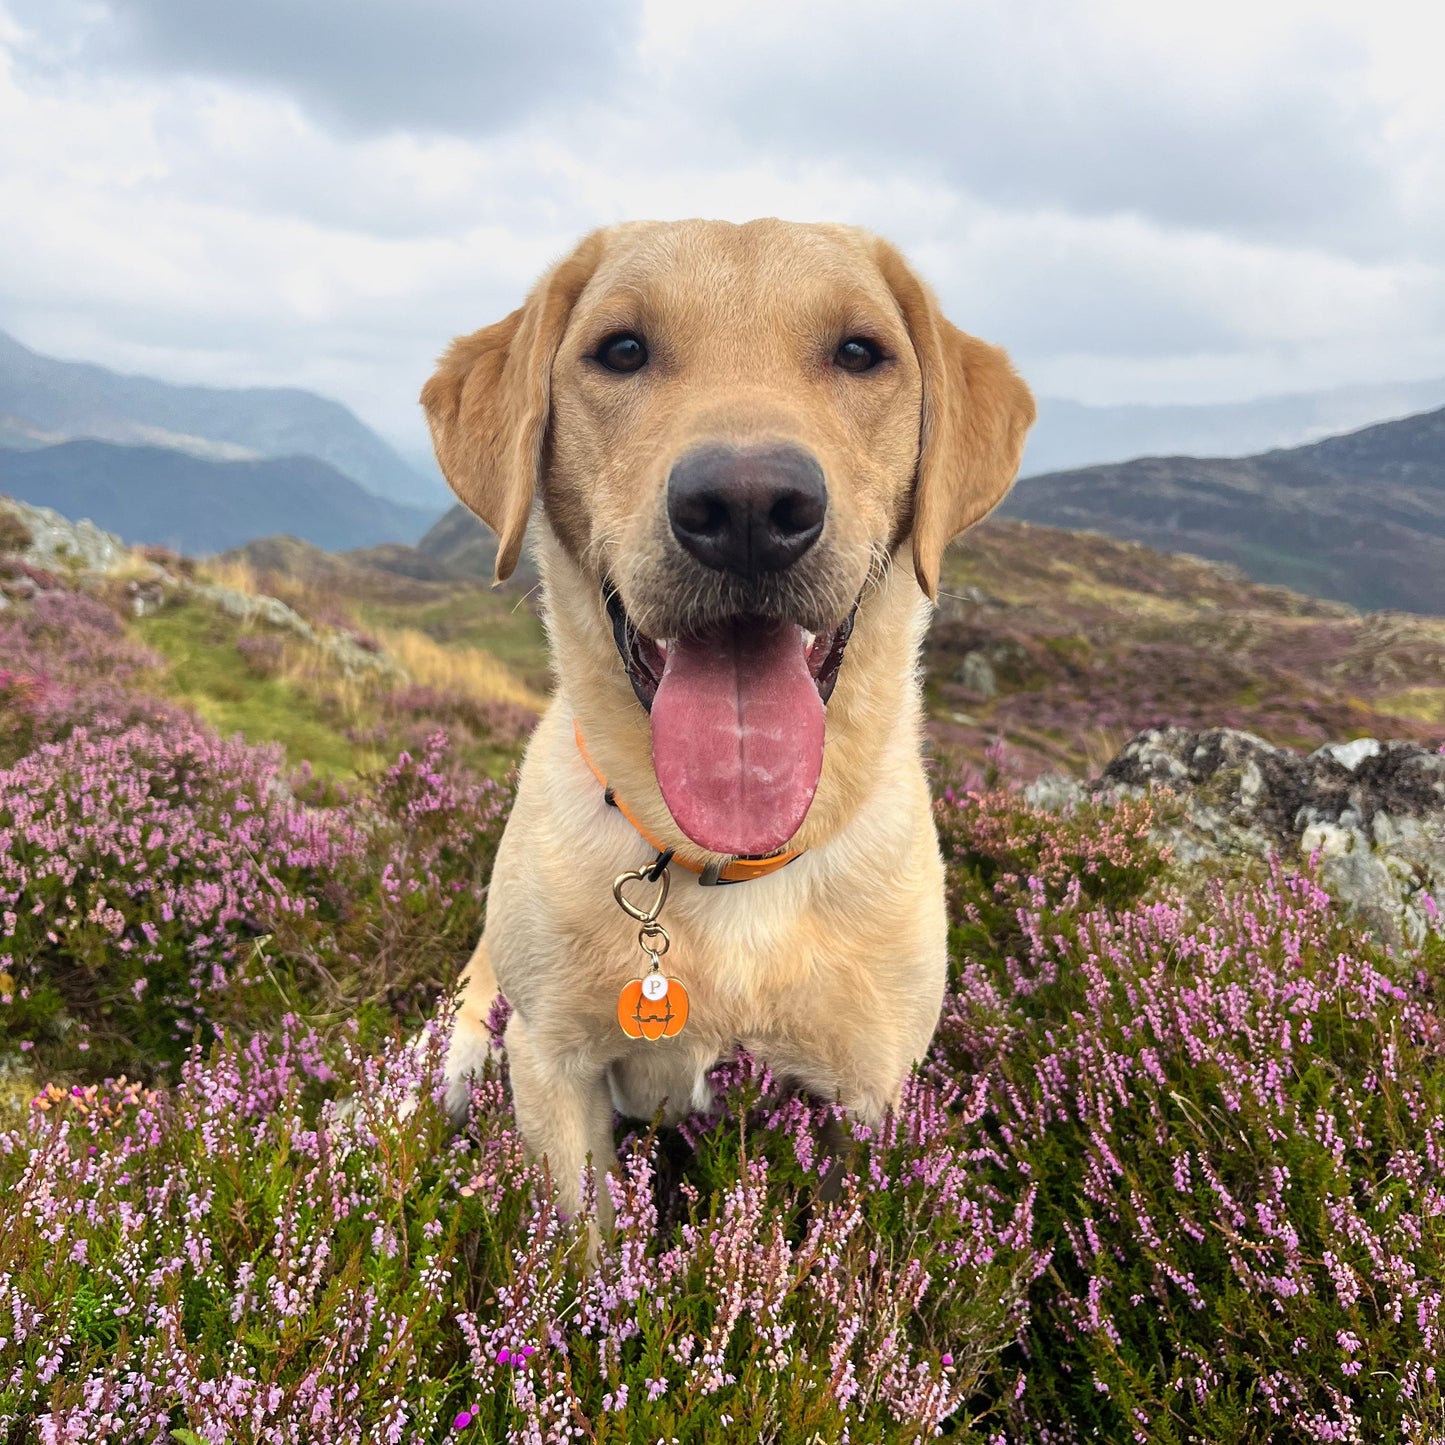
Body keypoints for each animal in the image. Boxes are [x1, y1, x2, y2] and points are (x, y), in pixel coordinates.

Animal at [421, 216, 1034, 1219]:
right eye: (621, 350)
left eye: (859, 352)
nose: (748, 506)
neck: (727, 865)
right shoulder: (552, 1068)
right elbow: (581, 1242)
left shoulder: (866, 1092)